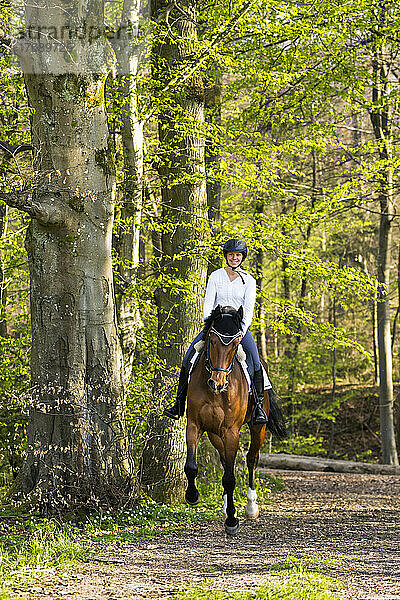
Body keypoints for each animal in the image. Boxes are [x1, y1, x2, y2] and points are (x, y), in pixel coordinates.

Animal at [183, 304, 286, 536]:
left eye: (235, 344)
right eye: (212, 340)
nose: (217, 383)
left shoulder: (231, 431)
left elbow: (230, 478)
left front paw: (232, 520)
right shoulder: (195, 425)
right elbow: (191, 466)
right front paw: (192, 496)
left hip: (258, 428)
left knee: (251, 459)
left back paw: (250, 506)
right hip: (214, 433)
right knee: (224, 461)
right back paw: (225, 506)